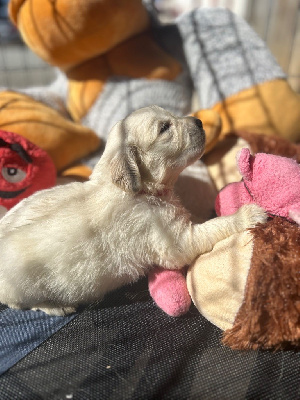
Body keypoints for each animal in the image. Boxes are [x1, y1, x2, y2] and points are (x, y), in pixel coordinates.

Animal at [0, 106, 266, 316]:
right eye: (164, 128)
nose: (199, 121)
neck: (136, 189)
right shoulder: (173, 241)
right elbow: (210, 228)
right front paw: (247, 214)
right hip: (20, 287)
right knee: (19, 304)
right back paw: (54, 306)